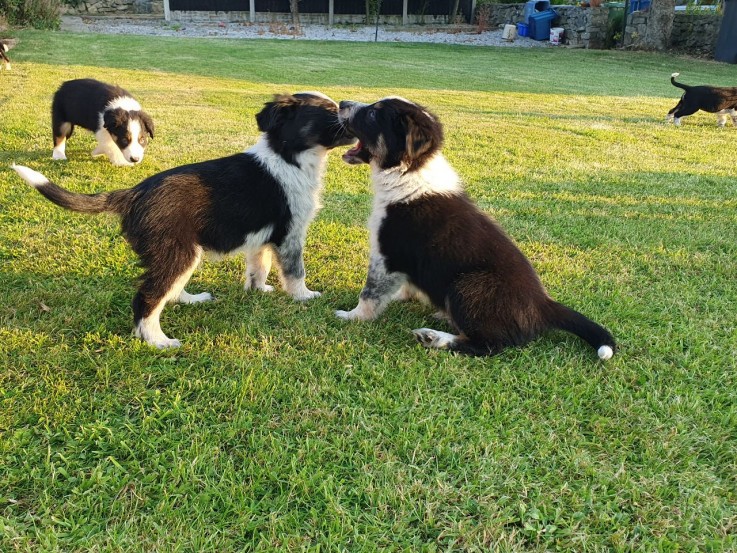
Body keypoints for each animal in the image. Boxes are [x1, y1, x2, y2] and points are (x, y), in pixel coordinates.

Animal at [336, 97, 612, 360]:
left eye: (373, 114)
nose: (341, 103)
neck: (409, 171)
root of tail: (543, 305)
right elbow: (403, 285)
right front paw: (400, 297)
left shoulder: (387, 254)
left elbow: (370, 293)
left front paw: (352, 317)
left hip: (468, 286)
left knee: (489, 344)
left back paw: (435, 338)